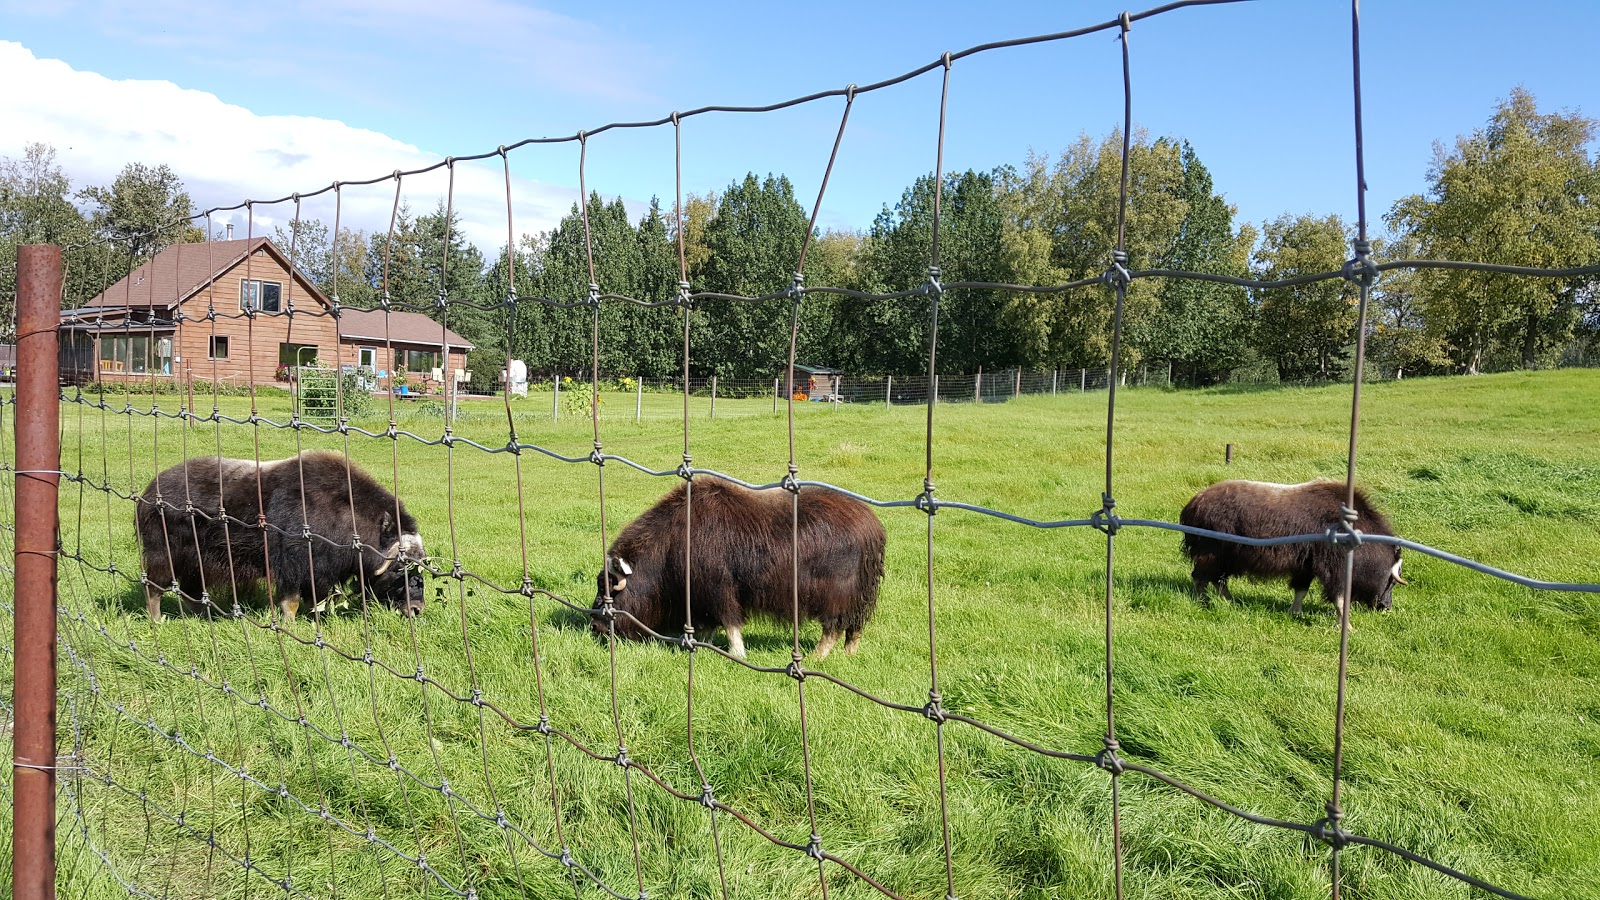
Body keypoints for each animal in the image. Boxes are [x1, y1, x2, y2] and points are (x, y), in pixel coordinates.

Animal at [137, 451, 427, 622]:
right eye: (400, 568)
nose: (416, 609)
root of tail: (149, 492)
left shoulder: (318, 570)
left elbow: (315, 598)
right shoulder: (293, 564)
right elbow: (292, 601)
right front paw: (290, 626)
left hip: (197, 562)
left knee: (191, 591)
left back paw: (206, 617)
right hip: (165, 554)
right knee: (155, 587)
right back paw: (157, 620)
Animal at [592, 479, 886, 660]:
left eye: (611, 590)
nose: (596, 626)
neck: (669, 543)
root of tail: (871, 526)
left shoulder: (718, 588)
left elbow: (729, 619)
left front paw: (737, 653)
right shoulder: (701, 597)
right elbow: (708, 623)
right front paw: (704, 644)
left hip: (836, 594)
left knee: (833, 626)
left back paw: (816, 657)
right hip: (862, 595)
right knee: (855, 627)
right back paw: (848, 655)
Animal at [1179, 479, 1405, 616]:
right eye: (1392, 581)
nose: (1386, 607)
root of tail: (1193, 503)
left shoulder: (1306, 566)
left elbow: (1301, 589)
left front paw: (1295, 612)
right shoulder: (1335, 569)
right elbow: (1339, 596)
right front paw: (1345, 625)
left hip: (1227, 559)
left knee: (1219, 580)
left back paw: (1231, 601)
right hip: (1211, 554)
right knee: (1201, 577)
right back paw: (1204, 602)